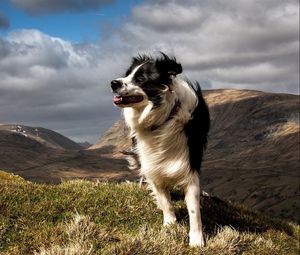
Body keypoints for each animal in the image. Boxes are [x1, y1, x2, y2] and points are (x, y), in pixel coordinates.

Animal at [109, 52, 210, 246]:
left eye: (141, 78)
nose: (113, 83)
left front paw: (196, 239)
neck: (163, 117)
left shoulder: (189, 165)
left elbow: (194, 209)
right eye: (127, 74)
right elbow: (165, 200)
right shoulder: (153, 165)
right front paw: (169, 224)